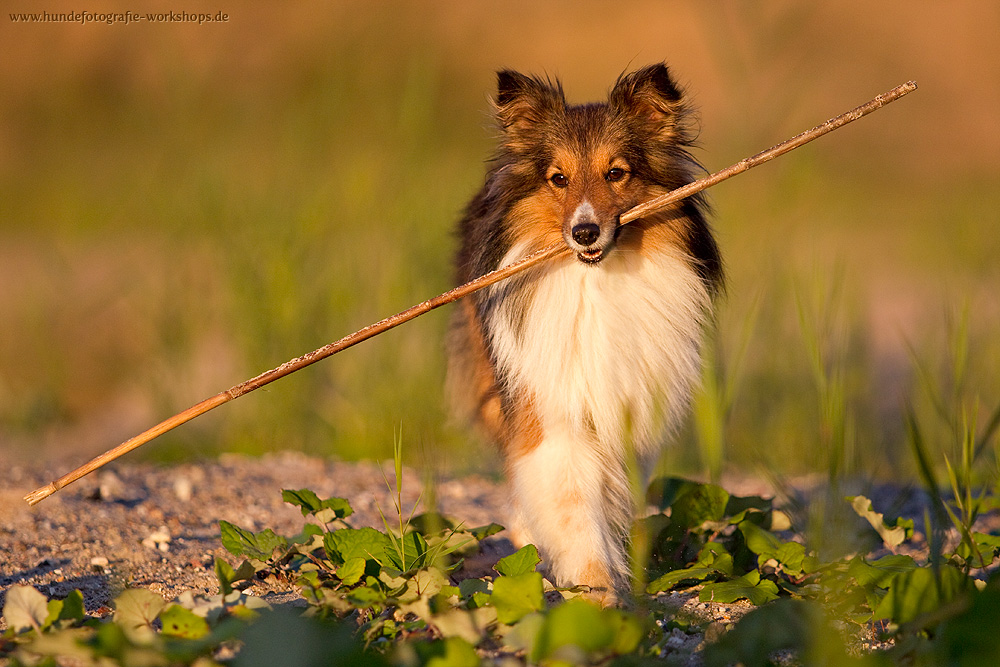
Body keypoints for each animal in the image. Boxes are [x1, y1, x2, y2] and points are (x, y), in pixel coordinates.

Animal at [446, 64, 720, 604]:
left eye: (616, 172)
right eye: (559, 179)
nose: (585, 233)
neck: (595, 281)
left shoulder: (628, 405)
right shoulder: (551, 401)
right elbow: (570, 499)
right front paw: (595, 586)